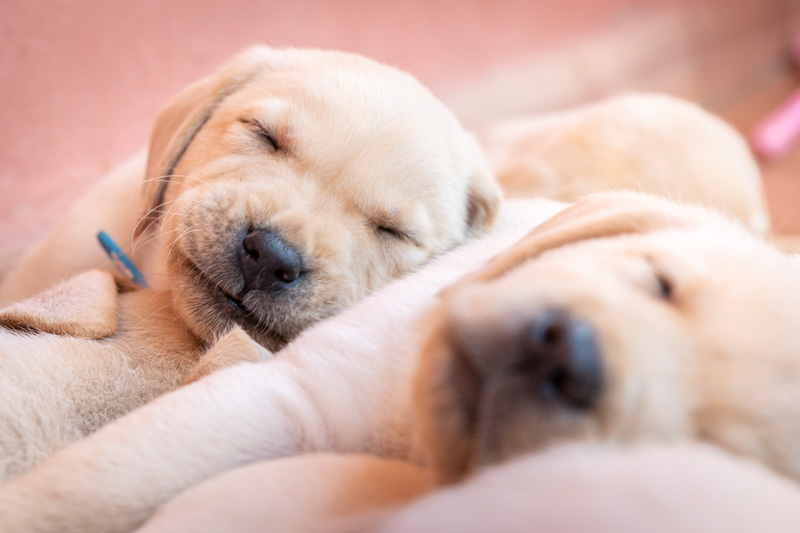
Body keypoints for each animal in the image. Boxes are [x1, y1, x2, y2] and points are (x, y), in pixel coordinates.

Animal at [6, 192, 800, 532]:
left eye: (709, 445)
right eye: (660, 282)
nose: (568, 353)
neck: (410, 436)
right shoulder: (291, 394)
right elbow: (84, 491)